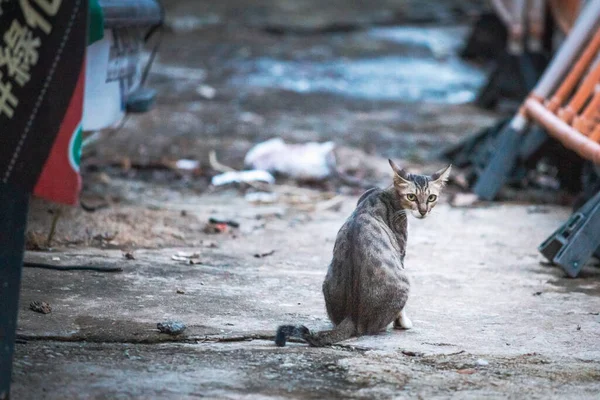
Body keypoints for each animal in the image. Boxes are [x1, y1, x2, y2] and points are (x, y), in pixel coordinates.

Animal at [276, 159, 450, 346]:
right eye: (411, 196)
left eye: (431, 197)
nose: (424, 211)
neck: (387, 191)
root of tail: (351, 317)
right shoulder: (400, 250)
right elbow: (401, 311)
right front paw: (403, 323)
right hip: (403, 283)